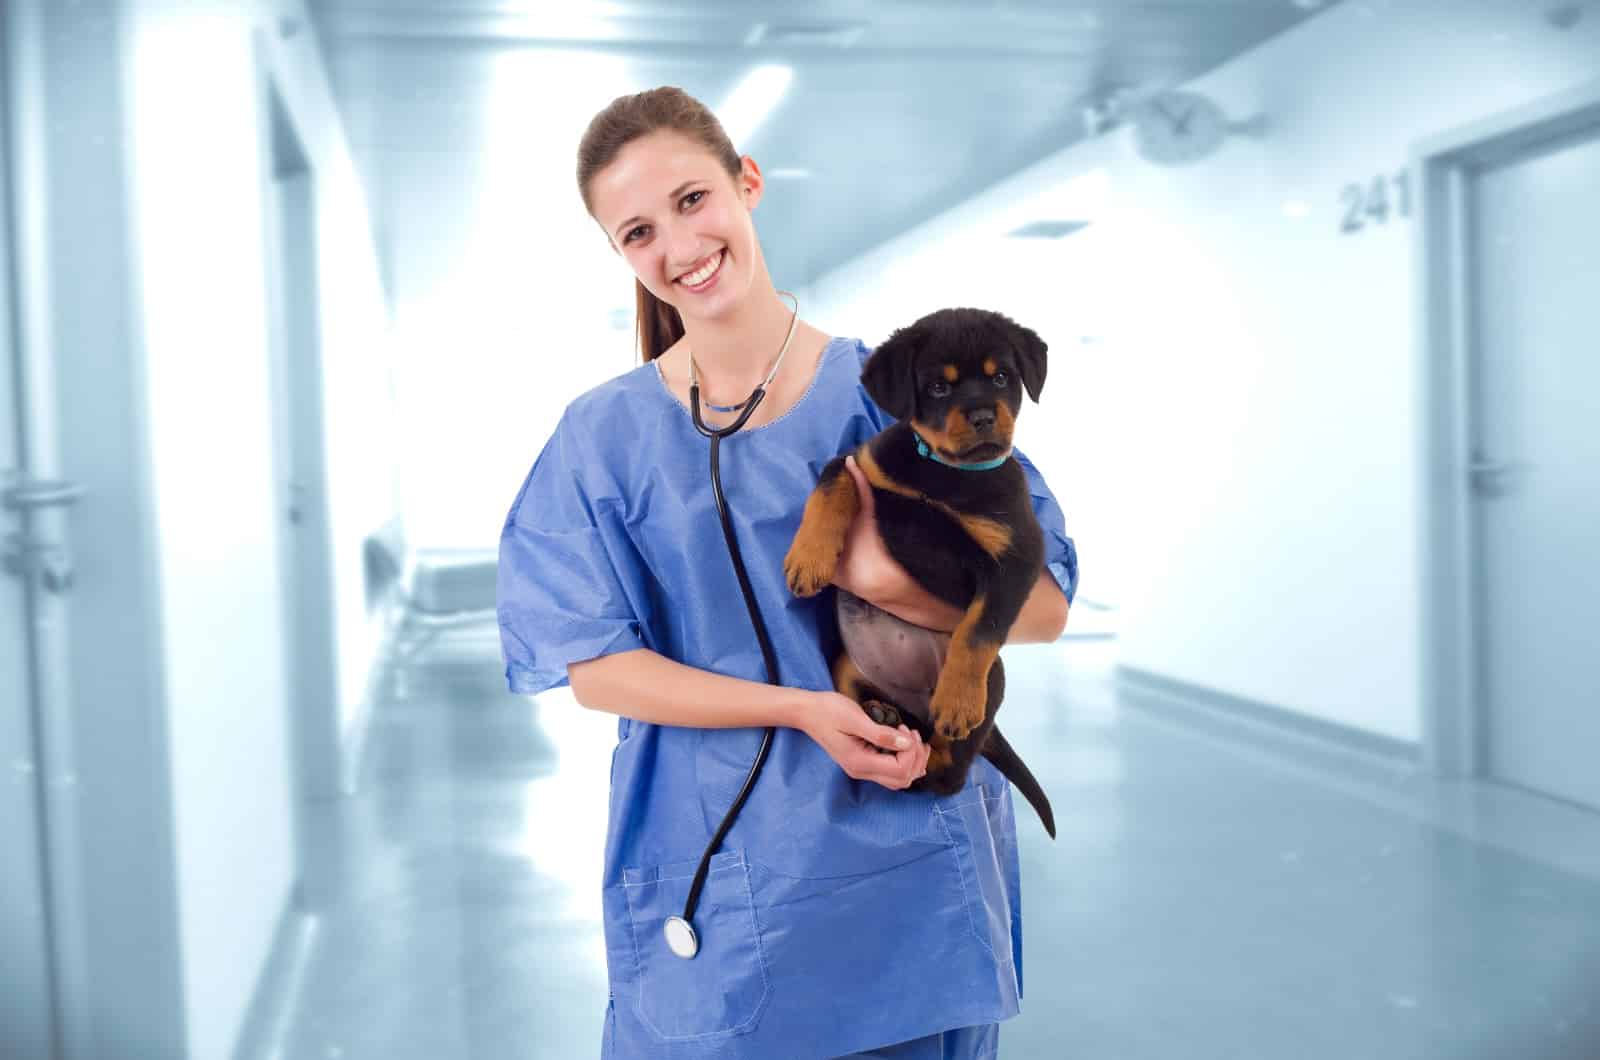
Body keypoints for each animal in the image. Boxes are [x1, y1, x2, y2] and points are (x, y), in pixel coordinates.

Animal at [784, 307, 1056, 839]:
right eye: (937, 388)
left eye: (1001, 377)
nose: (983, 416)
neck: (946, 474)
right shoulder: (865, 463)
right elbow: (832, 481)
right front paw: (808, 557)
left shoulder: (1017, 556)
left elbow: (980, 629)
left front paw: (957, 700)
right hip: (845, 668)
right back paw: (881, 719)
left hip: (994, 683)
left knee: (948, 775)